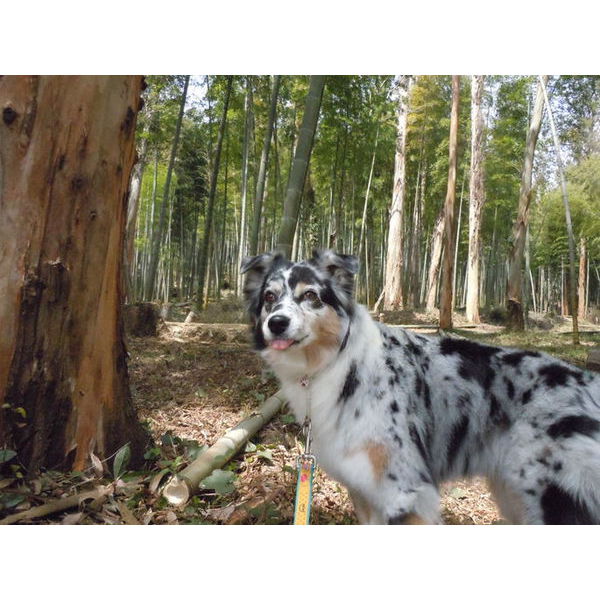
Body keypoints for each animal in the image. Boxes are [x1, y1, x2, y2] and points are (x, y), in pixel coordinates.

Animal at [241, 251, 600, 524]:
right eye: (269, 297)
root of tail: (586, 381)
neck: (337, 363)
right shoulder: (363, 487)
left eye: (310, 295)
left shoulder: (404, 490)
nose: (277, 323)